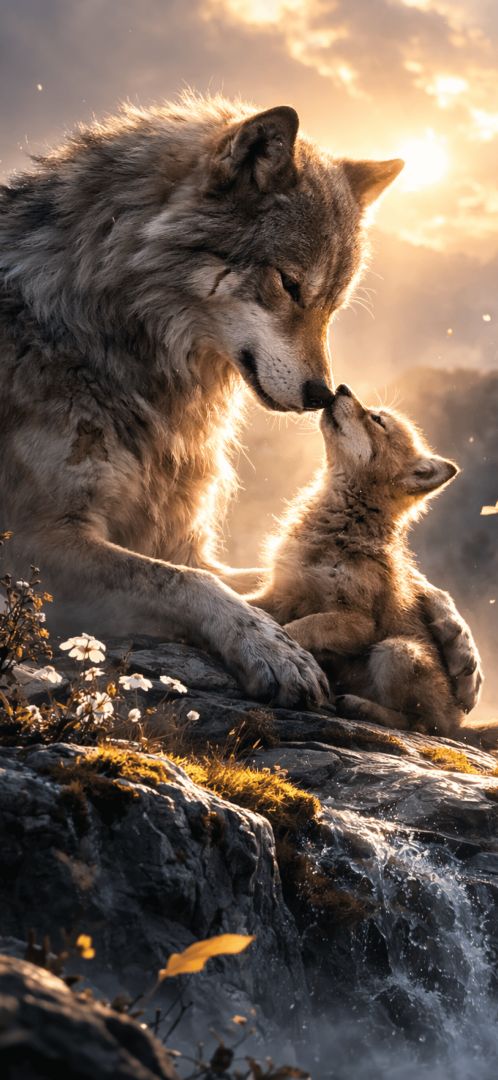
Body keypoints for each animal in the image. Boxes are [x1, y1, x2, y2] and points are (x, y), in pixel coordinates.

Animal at [0, 94, 481, 710]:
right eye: (290, 285)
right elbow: (188, 583)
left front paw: (452, 632)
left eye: (334, 303)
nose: (324, 393)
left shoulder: (184, 544)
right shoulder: (35, 540)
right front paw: (272, 650)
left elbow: (243, 578)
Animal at [252, 384, 488, 739]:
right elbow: (251, 605)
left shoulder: (357, 621)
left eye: (377, 420)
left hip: (396, 652)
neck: (342, 523)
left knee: (417, 724)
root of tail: (459, 725)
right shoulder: (280, 593)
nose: (341, 387)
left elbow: (299, 628)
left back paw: (357, 705)